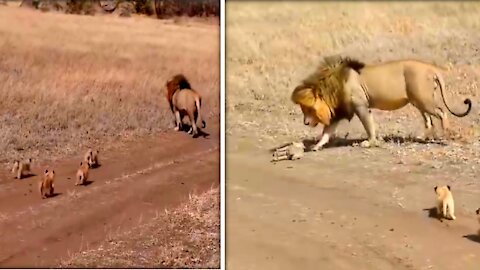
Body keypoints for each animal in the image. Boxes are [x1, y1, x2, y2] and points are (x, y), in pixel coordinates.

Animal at [290, 57, 470, 151]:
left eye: (307, 109)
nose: (305, 122)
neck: (334, 86)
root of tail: (431, 68)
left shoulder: (361, 106)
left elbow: (368, 125)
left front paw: (370, 142)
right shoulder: (339, 111)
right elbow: (327, 131)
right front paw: (316, 146)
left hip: (424, 100)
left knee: (441, 112)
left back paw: (445, 134)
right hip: (418, 101)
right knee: (428, 120)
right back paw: (425, 137)